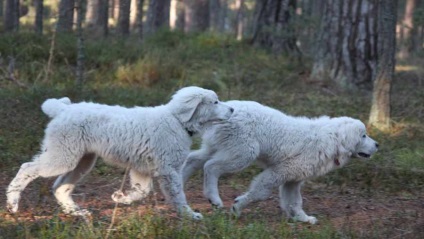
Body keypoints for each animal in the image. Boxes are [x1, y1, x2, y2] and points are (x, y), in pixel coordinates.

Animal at [6, 86, 234, 220]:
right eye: (215, 102)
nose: (232, 110)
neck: (177, 120)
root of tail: (63, 109)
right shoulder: (168, 170)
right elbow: (178, 194)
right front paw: (189, 215)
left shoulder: (142, 169)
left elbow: (142, 191)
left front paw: (121, 198)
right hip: (63, 156)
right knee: (27, 168)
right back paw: (12, 204)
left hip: (81, 160)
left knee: (60, 187)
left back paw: (76, 212)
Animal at [184, 100, 380, 223]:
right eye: (363, 135)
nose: (377, 145)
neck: (332, 140)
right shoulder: (280, 171)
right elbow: (260, 192)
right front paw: (238, 206)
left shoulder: (293, 179)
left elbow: (294, 201)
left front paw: (303, 218)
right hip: (244, 152)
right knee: (211, 166)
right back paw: (214, 198)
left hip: (218, 146)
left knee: (194, 159)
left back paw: (180, 184)